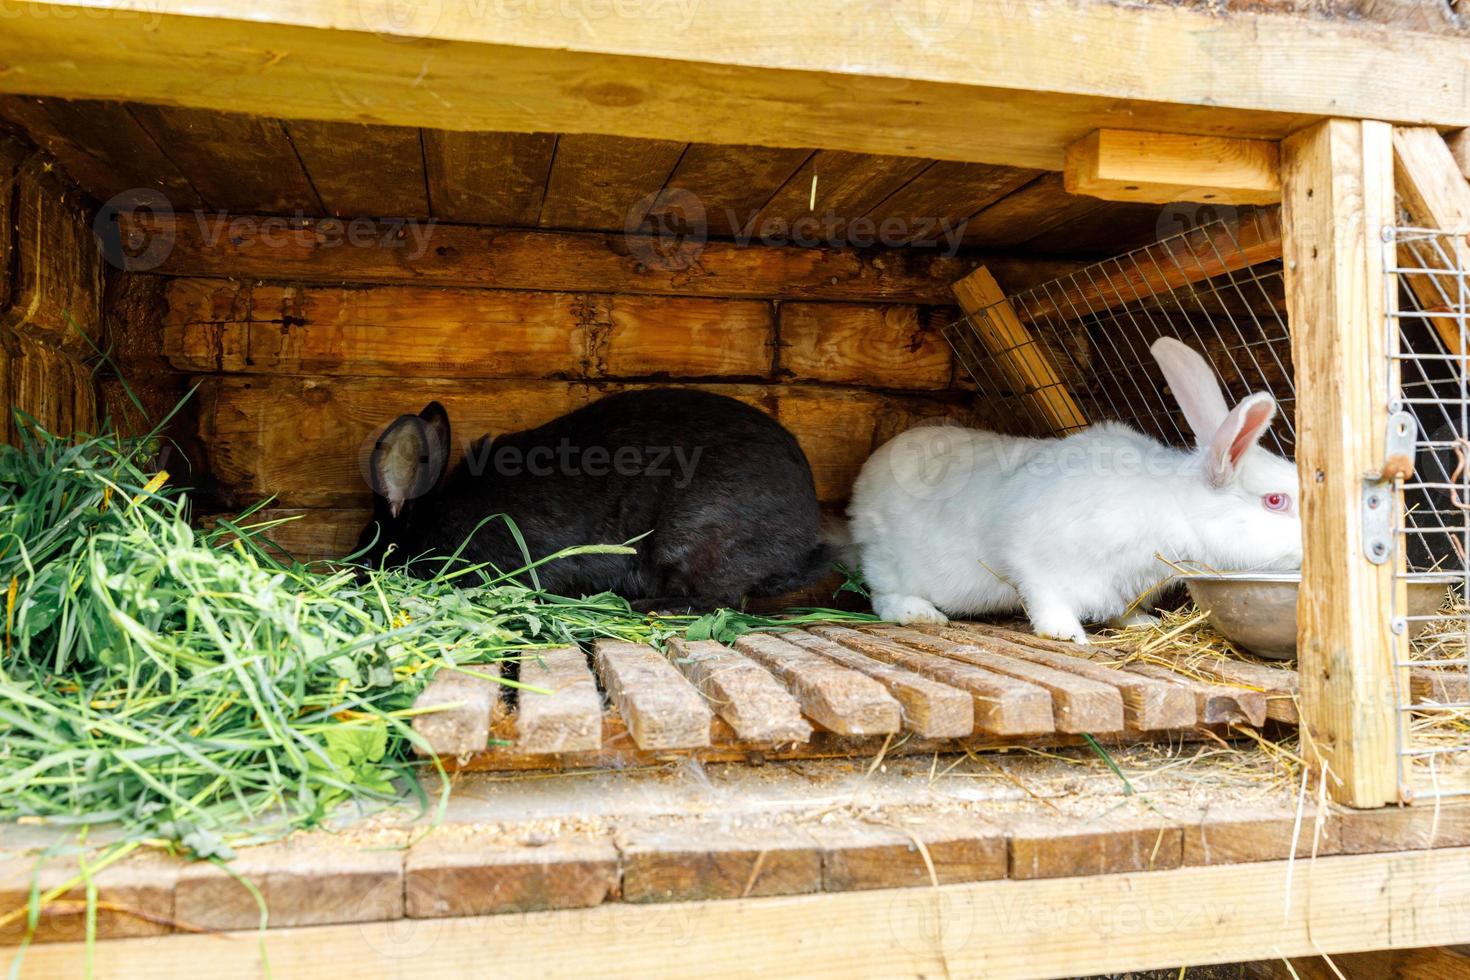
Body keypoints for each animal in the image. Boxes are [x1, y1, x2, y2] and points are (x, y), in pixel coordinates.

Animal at [846, 337, 1305, 643]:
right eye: (1275, 501)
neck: (1172, 506)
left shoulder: (1122, 585)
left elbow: (1122, 609)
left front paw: (1141, 623)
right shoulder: (1034, 555)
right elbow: (1046, 596)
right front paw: (1065, 634)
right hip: (886, 559)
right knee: (882, 596)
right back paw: (920, 613)